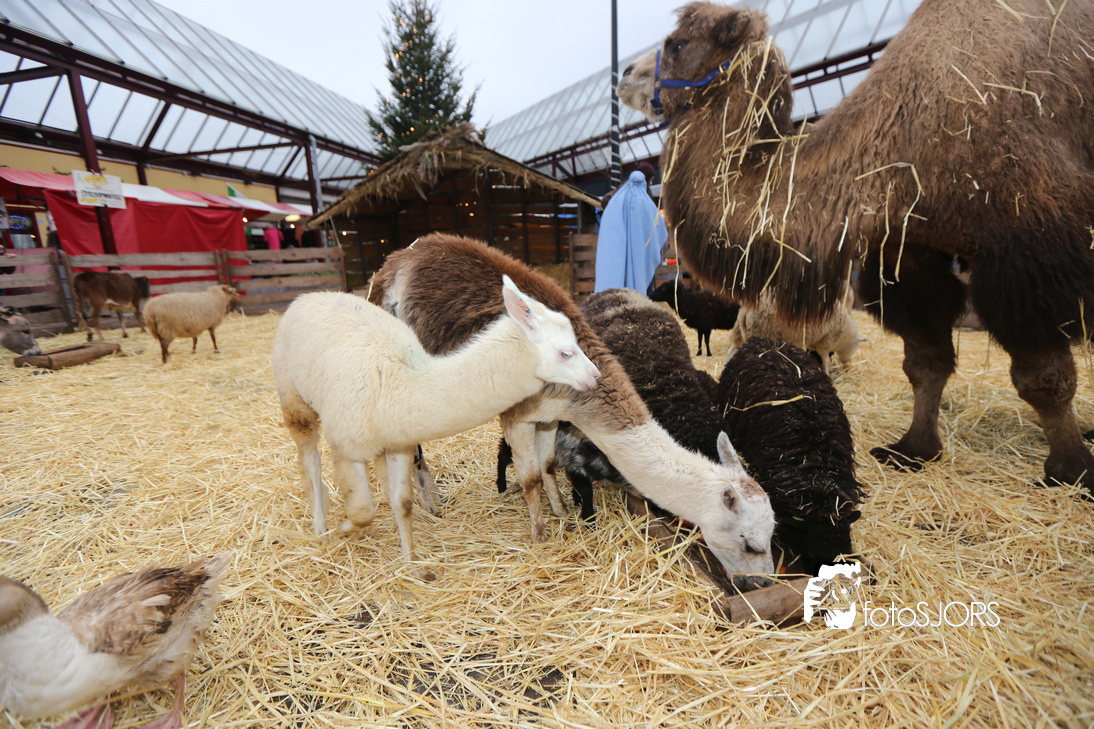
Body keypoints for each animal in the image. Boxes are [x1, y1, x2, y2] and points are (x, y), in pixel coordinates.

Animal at [271, 278, 600, 581]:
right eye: (566, 353)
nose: (595, 377)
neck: (401, 385)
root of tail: (308, 296)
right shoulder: (347, 446)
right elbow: (363, 510)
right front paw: (345, 528)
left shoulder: (399, 445)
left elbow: (402, 503)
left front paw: (413, 564)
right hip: (293, 398)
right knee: (310, 462)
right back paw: (319, 528)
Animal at [369, 233, 775, 583]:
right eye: (751, 544)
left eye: (772, 534)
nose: (761, 582)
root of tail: (394, 263)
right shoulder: (517, 415)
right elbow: (530, 477)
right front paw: (540, 535)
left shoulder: (550, 417)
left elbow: (549, 464)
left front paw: (562, 511)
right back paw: (430, 503)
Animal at [726, 287, 861, 374]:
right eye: (855, 346)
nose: (846, 362)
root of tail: (746, 311)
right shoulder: (825, 343)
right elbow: (826, 361)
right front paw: (827, 374)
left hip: (739, 334)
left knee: (730, 352)